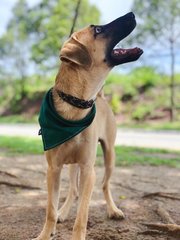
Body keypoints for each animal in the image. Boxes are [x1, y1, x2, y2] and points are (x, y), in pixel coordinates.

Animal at [33, 12, 143, 240]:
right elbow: (50, 210)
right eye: (98, 30)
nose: (132, 14)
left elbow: (82, 216)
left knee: (105, 185)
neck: (76, 104)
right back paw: (63, 212)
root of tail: (99, 97)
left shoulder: (88, 170)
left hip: (109, 155)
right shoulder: (53, 169)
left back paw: (113, 210)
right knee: (73, 191)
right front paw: (46, 233)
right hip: (73, 165)